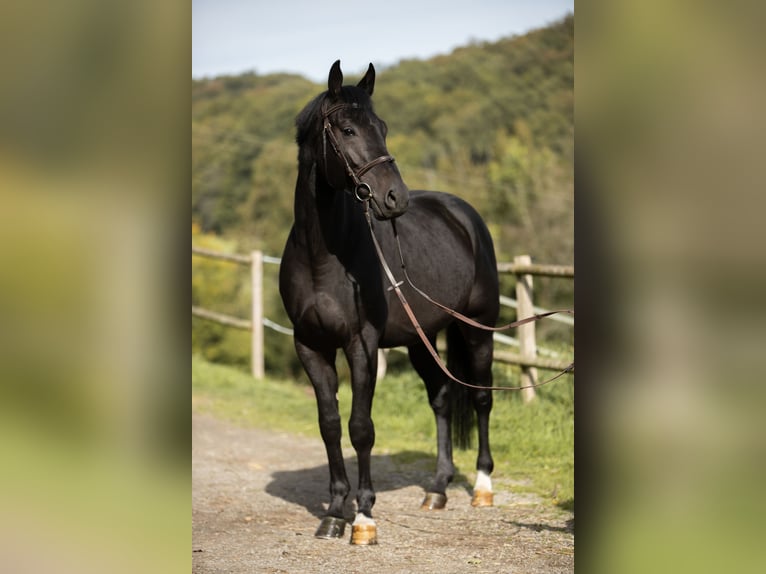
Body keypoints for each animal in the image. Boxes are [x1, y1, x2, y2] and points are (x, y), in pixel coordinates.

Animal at [280, 60, 500, 548]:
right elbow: (329, 424)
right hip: (422, 339)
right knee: (441, 399)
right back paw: (437, 490)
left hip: (477, 328)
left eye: (381, 128)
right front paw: (334, 513)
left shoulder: (360, 345)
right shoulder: (310, 346)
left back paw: (482, 488)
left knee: (480, 399)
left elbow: (361, 428)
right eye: (347, 129)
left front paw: (363, 517)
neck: (322, 256)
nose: (394, 198)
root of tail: (464, 215)